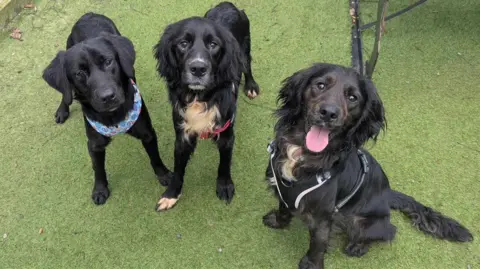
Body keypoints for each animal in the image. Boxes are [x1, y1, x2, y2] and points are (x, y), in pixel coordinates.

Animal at [41, 12, 172, 203]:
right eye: (80, 73)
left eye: (108, 61)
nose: (108, 96)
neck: (113, 117)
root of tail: (87, 15)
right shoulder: (94, 145)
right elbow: (98, 169)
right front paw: (100, 189)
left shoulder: (147, 133)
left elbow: (155, 157)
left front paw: (164, 175)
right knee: (66, 94)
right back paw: (62, 110)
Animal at [153, 2, 258, 211]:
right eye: (183, 43)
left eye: (213, 44)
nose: (198, 69)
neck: (200, 97)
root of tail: (228, 4)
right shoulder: (183, 134)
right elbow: (178, 169)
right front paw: (171, 194)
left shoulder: (226, 132)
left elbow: (224, 164)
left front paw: (224, 186)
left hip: (244, 48)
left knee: (247, 65)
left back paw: (251, 86)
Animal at [262, 63, 472, 268]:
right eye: (320, 85)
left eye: (353, 97)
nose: (329, 113)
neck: (305, 155)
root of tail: (388, 193)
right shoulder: (283, 191)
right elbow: (283, 210)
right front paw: (277, 222)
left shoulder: (323, 216)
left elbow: (318, 244)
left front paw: (311, 264)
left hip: (360, 221)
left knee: (388, 231)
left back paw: (358, 246)